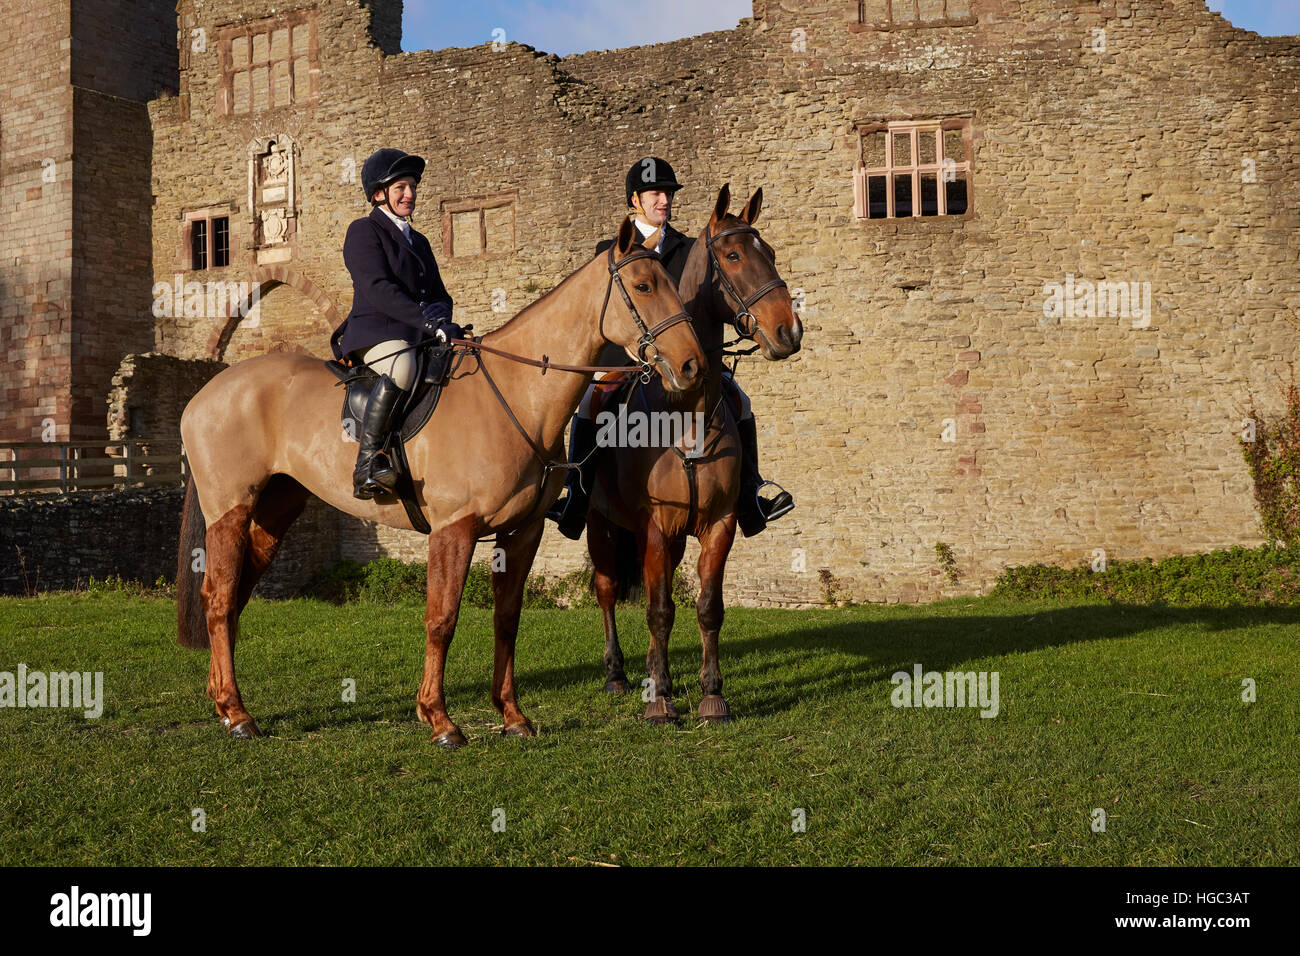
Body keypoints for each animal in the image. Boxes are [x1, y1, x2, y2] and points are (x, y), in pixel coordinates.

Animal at [174, 217, 707, 749]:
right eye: (643, 286)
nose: (691, 366)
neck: (516, 394)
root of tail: (207, 391)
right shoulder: (455, 528)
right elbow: (442, 619)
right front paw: (439, 719)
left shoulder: (523, 531)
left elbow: (507, 619)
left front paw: (512, 716)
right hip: (230, 512)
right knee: (219, 598)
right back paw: (238, 713)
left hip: (274, 512)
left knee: (236, 594)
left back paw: (222, 701)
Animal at [587, 184, 800, 723]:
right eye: (733, 255)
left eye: (770, 252)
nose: (789, 332)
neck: (686, 413)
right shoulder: (656, 527)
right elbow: (660, 609)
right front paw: (662, 698)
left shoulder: (718, 523)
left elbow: (707, 607)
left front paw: (712, 693)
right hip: (602, 522)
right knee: (607, 589)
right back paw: (619, 676)